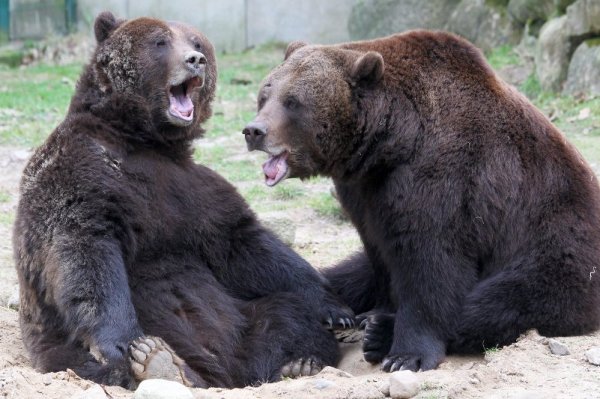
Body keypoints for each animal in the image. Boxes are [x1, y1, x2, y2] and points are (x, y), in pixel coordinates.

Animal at [11, 12, 354, 390]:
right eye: (160, 41)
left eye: (197, 42)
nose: (195, 60)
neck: (145, 139)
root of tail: (224, 372)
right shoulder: (82, 168)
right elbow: (85, 247)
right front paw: (124, 343)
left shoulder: (193, 190)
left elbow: (245, 244)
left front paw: (337, 310)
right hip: (61, 346)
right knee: (90, 362)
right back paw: (161, 362)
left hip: (244, 318)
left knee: (287, 314)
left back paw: (298, 362)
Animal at [244, 30, 600, 372]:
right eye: (265, 94)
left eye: (293, 101)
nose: (254, 130)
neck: (391, 143)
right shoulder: (364, 193)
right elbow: (380, 254)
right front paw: (375, 311)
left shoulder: (443, 176)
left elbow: (430, 261)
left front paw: (406, 353)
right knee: (346, 274)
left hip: (559, 242)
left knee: (508, 299)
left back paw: (379, 334)